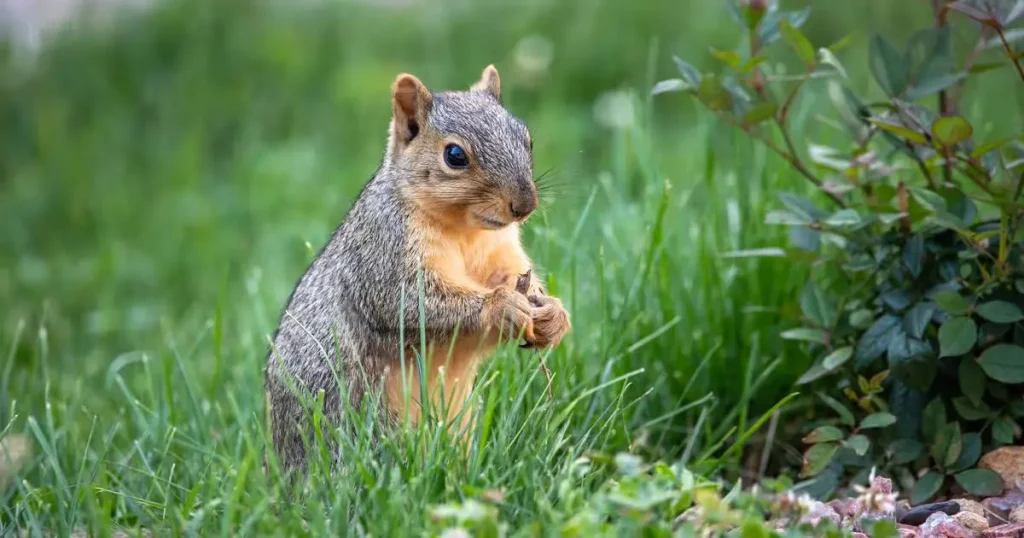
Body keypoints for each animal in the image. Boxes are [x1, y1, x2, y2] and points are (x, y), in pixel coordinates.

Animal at [263, 65, 571, 473]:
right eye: (454, 155)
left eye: (527, 139)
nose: (524, 205)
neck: (464, 230)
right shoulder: (383, 253)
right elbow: (413, 303)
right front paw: (501, 305)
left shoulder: (499, 252)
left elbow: (511, 277)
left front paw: (552, 313)